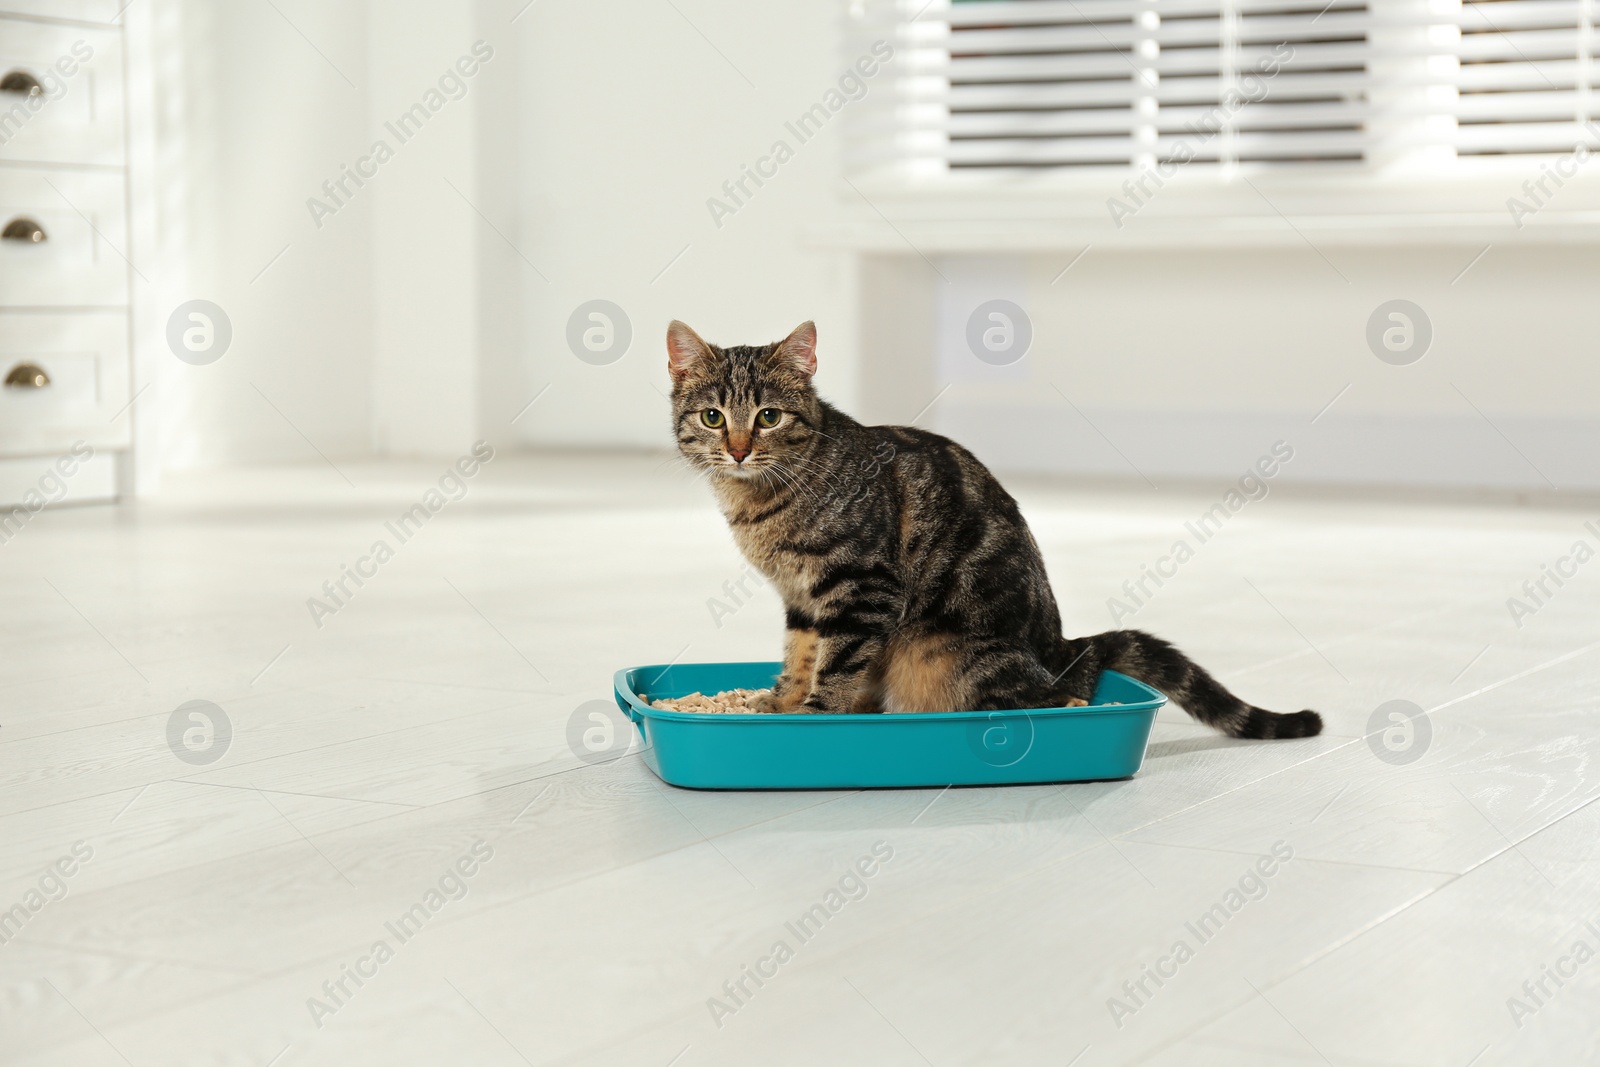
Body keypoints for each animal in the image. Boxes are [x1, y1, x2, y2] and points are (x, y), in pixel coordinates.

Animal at [665, 319, 1324, 742]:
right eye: (713, 416)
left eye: (769, 416)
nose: (739, 449)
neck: (761, 501)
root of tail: (1062, 649)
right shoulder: (803, 599)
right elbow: (801, 654)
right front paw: (782, 701)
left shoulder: (861, 587)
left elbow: (839, 662)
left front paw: (817, 714)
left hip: (950, 653)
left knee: (1062, 694)